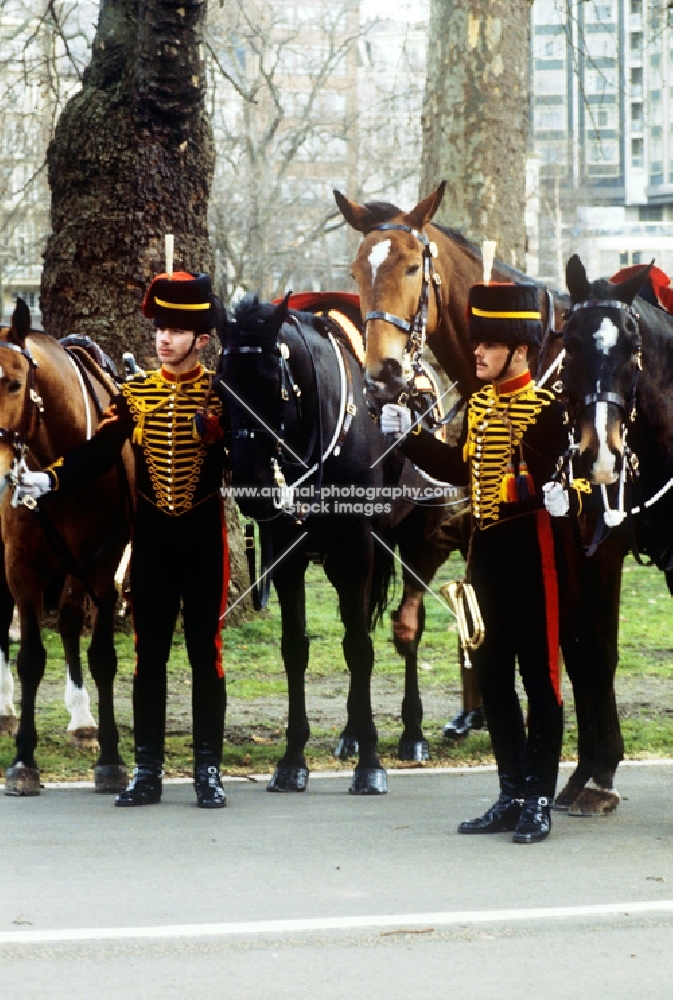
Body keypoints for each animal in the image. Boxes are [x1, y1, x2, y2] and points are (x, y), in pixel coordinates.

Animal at [0, 296, 132, 796]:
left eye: (15, 383)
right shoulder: (21, 567)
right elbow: (31, 658)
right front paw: (23, 759)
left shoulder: (99, 567)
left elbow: (99, 654)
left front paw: (110, 755)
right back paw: (5, 709)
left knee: (72, 624)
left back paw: (80, 717)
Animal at [215, 292, 400, 792]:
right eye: (220, 388)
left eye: (271, 385)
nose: (252, 485)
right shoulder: (286, 556)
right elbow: (295, 648)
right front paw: (293, 758)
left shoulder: (357, 551)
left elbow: (359, 648)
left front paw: (371, 762)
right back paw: (351, 733)